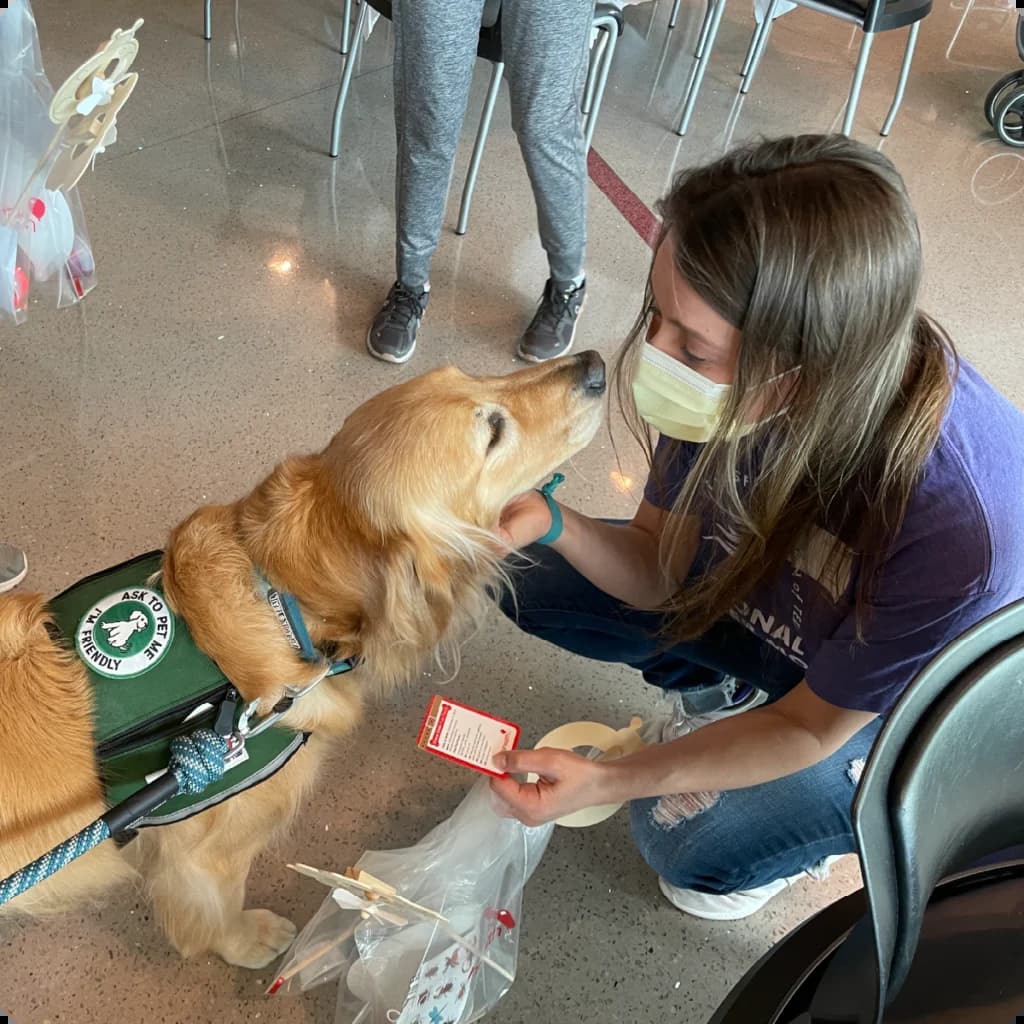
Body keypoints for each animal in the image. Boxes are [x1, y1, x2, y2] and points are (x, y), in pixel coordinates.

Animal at [0, 350, 606, 966]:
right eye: (492, 432)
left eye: (471, 374)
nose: (596, 364)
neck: (287, 602)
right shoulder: (204, 856)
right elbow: (211, 913)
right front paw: (245, 940)